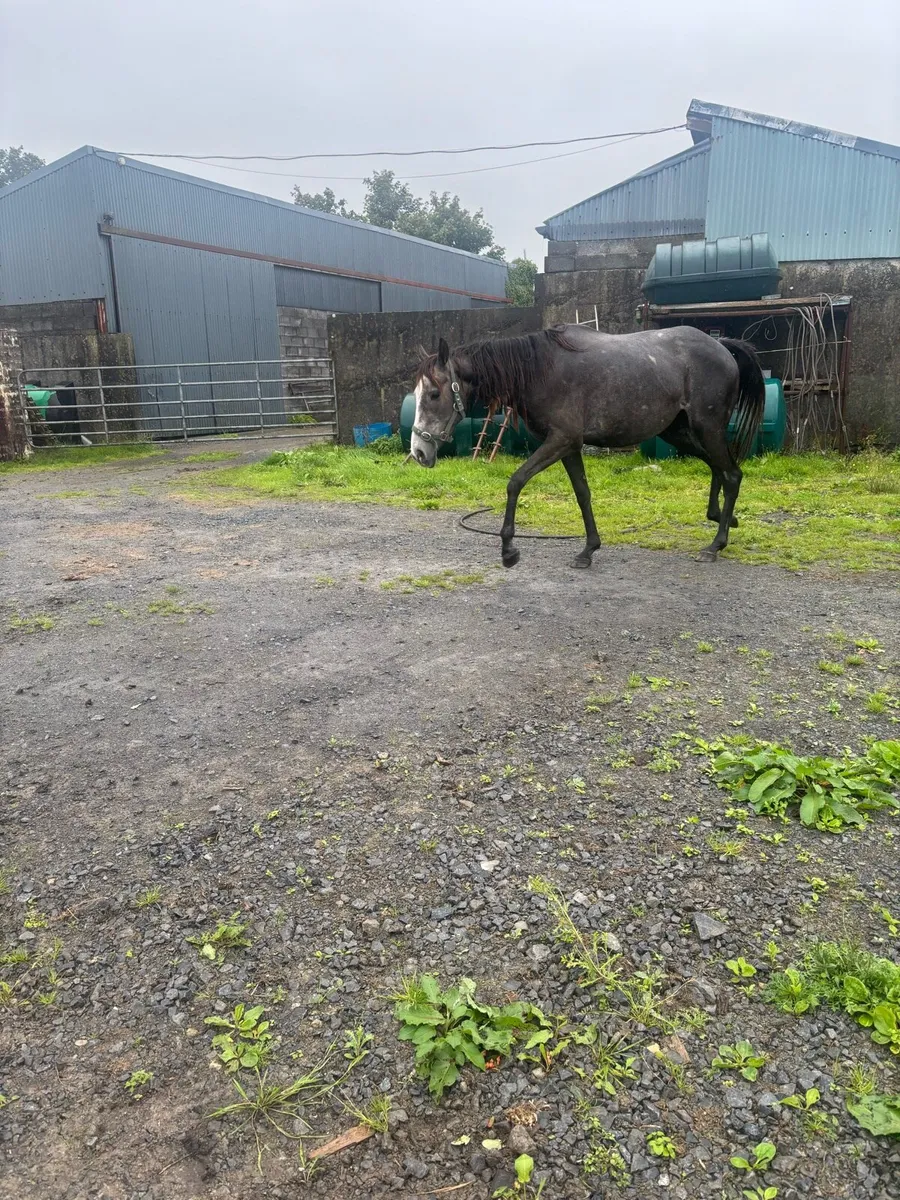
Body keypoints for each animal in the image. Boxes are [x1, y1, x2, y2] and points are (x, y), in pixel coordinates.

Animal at [410, 324, 765, 566]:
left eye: (434, 394)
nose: (419, 452)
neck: (541, 370)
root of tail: (721, 345)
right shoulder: (569, 447)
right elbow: (583, 493)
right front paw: (589, 548)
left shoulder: (561, 440)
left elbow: (516, 482)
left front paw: (509, 550)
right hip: (679, 433)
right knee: (719, 468)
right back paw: (721, 519)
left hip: (707, 428)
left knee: (732, 474)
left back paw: (716, 544)